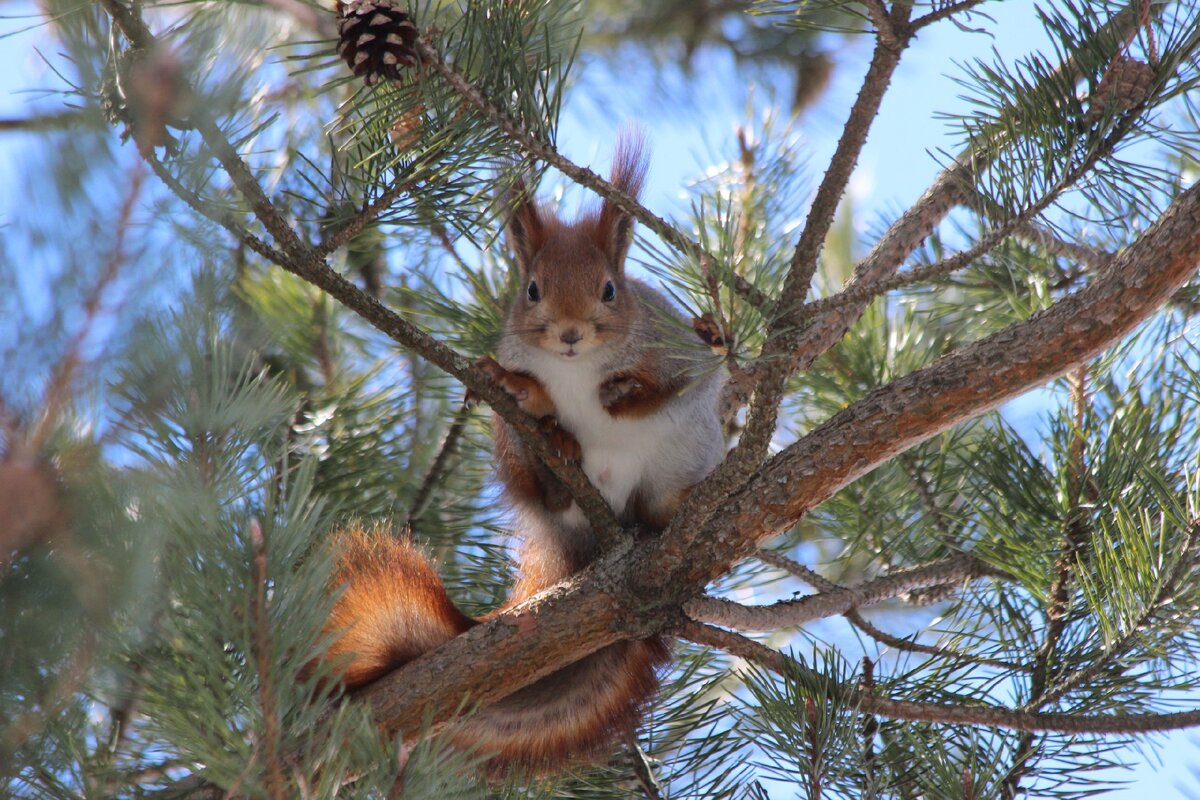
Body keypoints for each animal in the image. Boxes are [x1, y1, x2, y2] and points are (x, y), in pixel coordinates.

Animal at [314, 134, 724, 772]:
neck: (576, 370)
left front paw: (625, 392)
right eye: (532, 289)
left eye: (610, 289)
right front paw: (510, 383)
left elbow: (686, 379)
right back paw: (560, 457)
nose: (571, 333)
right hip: (510, 446)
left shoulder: (679, 355)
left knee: (657, 501)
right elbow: (526, 389)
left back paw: (668, 511)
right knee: (543, 489)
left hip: (685, 452)